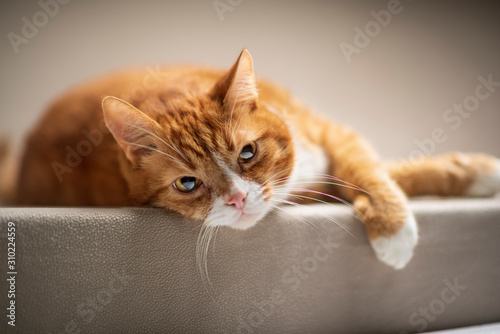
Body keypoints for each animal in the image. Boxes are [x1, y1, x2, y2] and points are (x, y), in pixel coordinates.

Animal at [6, 49, 500, 268]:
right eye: (188, 183)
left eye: (247, 153)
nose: (239, 199)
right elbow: (373, 175)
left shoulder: (331, 136)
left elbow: (370, 169)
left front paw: (475, 172)